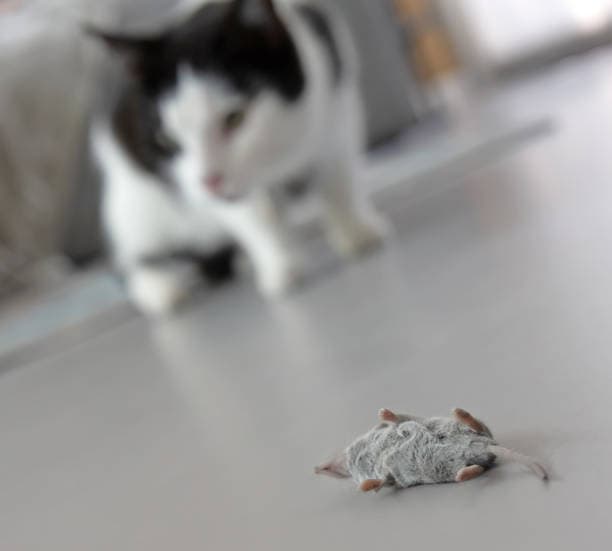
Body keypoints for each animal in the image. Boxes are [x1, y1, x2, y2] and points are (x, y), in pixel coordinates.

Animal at [89, 0, 388, 316]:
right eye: (167, 139)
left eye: (235, 118)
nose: (209, 180)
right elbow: (258, 214)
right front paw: (282, 267)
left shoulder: (338, 101)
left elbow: (339, 176)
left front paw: (357, 231)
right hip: (132, 200)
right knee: (132, 252)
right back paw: (158, 287)